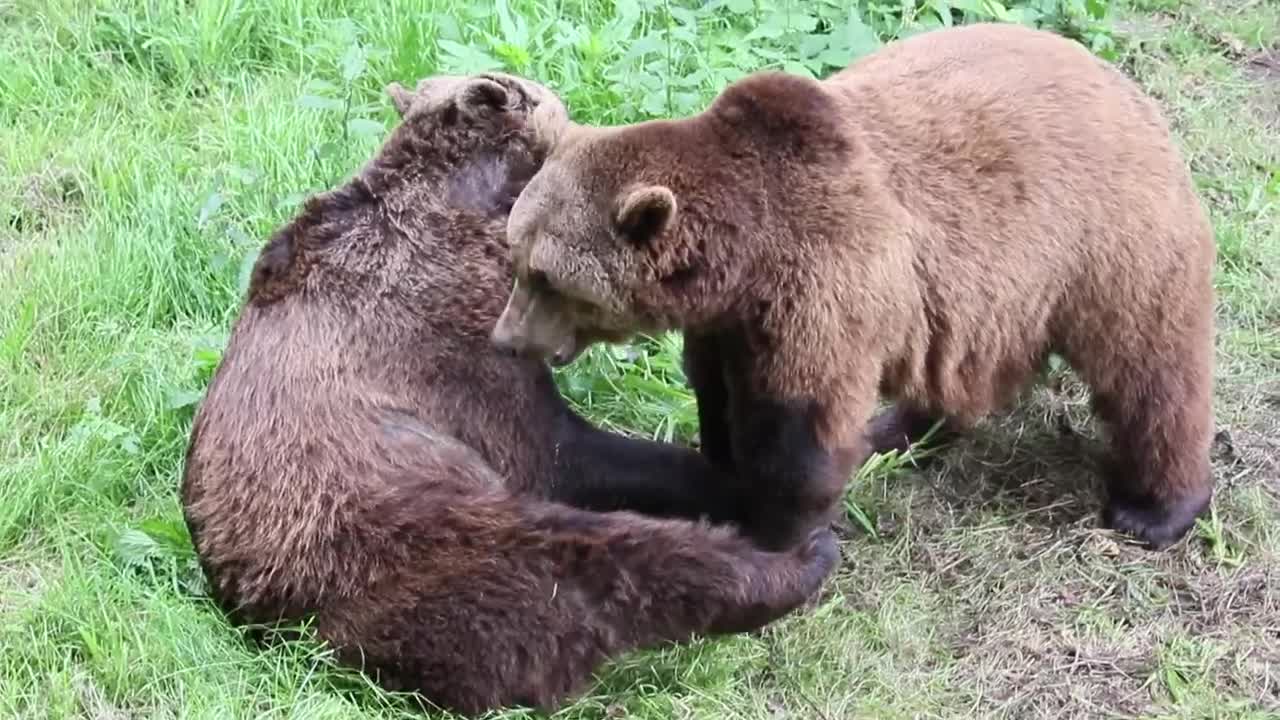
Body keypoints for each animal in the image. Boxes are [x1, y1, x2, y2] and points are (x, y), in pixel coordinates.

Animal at [488, 22, 1218, 548]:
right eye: (515, 255)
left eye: (548, 278)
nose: (505, 340)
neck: (745, 259)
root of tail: (1127, 88)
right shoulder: (730, 323)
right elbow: (718, 393)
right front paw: (725, 476)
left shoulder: (823, 287)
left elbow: (798, 428)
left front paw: (776, 530)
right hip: (995, 292)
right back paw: (902, 430)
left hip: (1110, 246)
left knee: (1150, 371)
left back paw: (1155, 508)